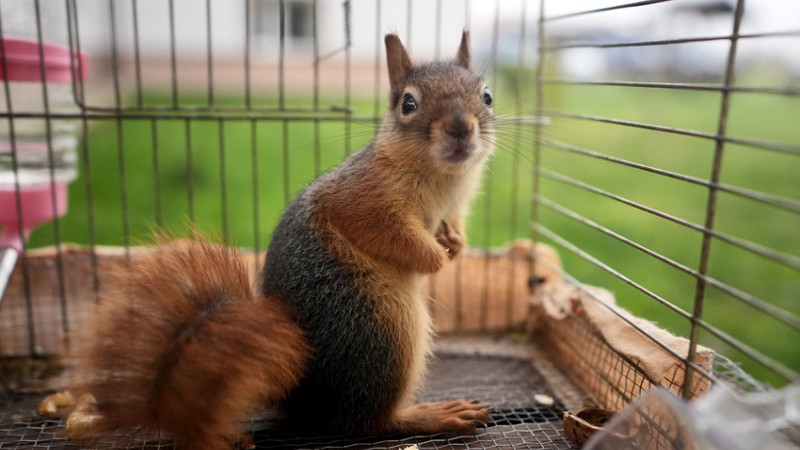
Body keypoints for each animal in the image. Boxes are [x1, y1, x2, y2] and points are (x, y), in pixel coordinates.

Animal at [67, 29, 494, 448]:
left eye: (486, 96)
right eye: (408, 103)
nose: (460, 128)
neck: (443, 179)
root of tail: (296, 392)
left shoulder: (452, 206)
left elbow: (451, 228)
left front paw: (455, 243)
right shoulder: (361, 199)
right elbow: (388, 232)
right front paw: (434, 258)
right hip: (382, 325)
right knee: (363, 421)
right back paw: (432, 415)